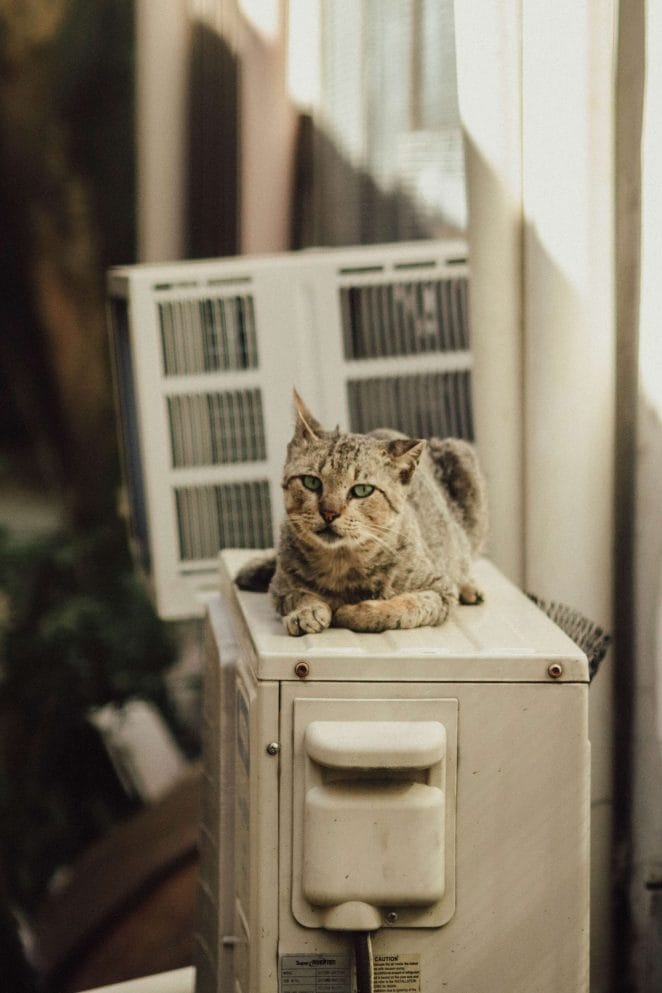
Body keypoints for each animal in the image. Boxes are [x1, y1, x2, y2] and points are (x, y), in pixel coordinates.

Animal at [236, 390, 490, 636]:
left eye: (362, 490)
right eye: (311, 482)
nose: (329, 512)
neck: (340, 563)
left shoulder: (439, 591)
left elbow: (402, 607)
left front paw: (355, 612)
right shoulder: (280, 587)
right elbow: (298, 594)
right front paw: (307, 611)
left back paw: (470, 587)